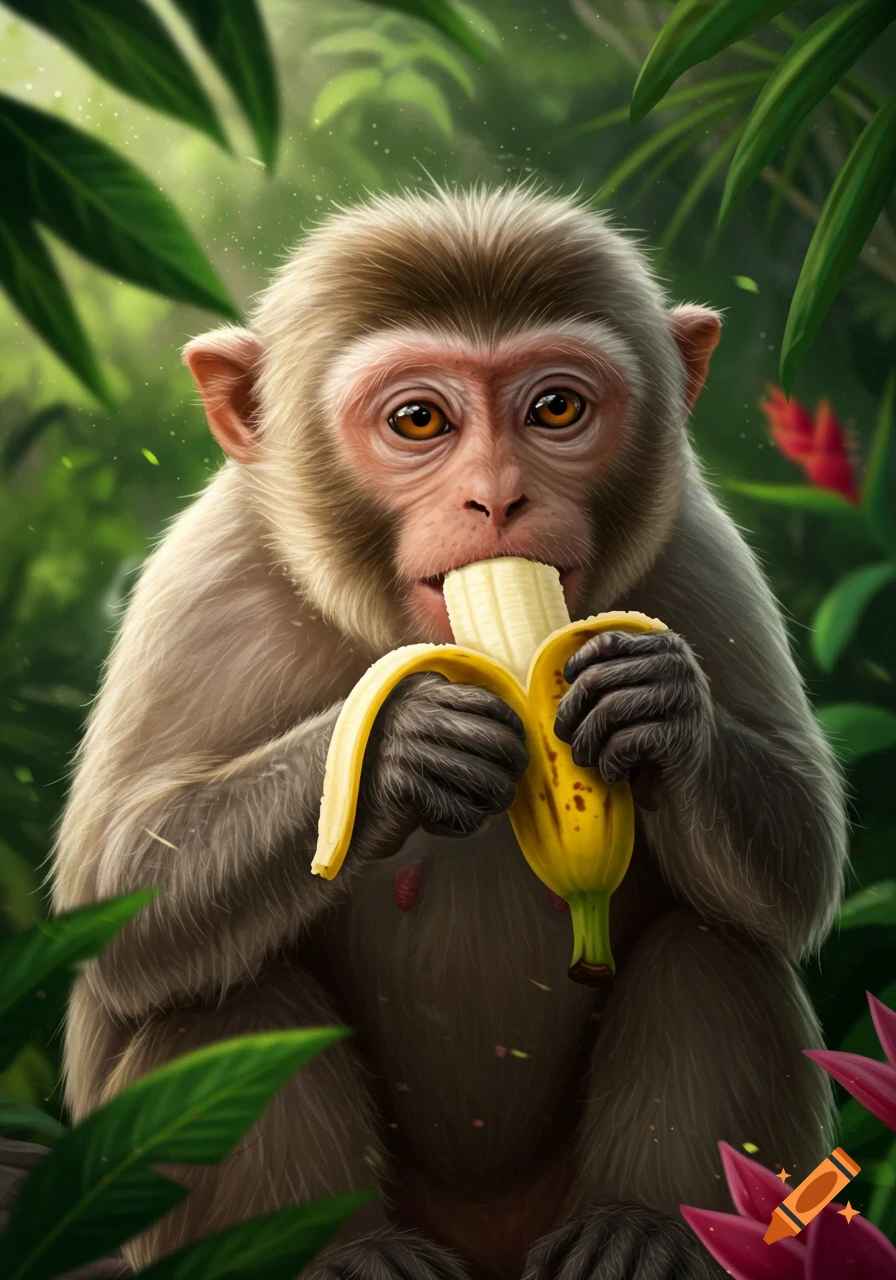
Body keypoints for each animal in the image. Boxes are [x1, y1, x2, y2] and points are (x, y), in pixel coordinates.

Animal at [51, 185, 847, 1280]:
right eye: (418, 419)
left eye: (555, 408)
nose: (497, 497)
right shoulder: (206, 578)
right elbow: (114, 891)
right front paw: (401, 747)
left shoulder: (697, 549)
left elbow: (798, 864)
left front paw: (660, 707)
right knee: (208, 992)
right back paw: (340, 1254)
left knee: (717, 943)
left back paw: (645, 1226)